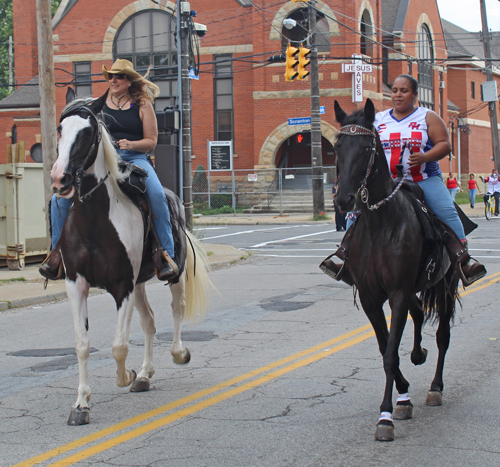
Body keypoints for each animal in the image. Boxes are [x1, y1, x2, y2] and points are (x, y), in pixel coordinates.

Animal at [48, 92, 209, 428]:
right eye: (60, 129)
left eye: (87, 133)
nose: (59, 178)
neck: (94, 220)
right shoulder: (76, 284)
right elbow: (82, 344)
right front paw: (81, 404)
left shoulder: (122, 286)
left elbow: (119, 345)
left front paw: (126, 375)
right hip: (140, 284)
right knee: (149, 321)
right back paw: (146, 375)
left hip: (173, 274)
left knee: (177, 309)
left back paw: (177, 354)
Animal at [332, 98, 460, 442]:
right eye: (337, 146)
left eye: (366, 148)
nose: (343, 199)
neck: (380, 225)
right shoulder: (370, 296)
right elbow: (384, 345)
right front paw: (402, 395)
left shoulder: (398, 292)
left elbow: (390, 353)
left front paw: (386, 416)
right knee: (418, 316)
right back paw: (418, 356)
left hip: (445, 285)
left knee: (442, 336)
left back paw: (436, 387)